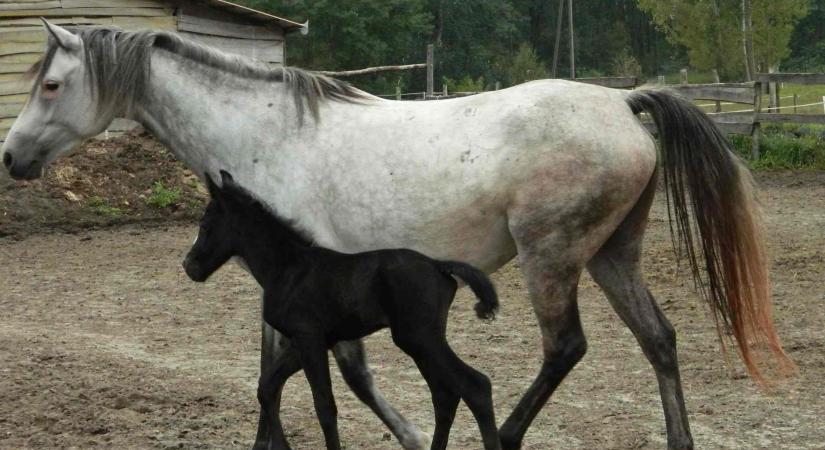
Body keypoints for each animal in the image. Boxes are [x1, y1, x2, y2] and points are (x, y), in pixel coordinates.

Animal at [183, 171, 498, 450]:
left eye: (206, 224)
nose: (189, 266)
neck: (288, 268)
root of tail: (439, 266)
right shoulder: (308, 341)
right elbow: (267, 387)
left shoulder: (309, 338)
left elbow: (324, 405)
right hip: (421, 343)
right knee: (444, 394)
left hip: (420, 338)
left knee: (475, 386)